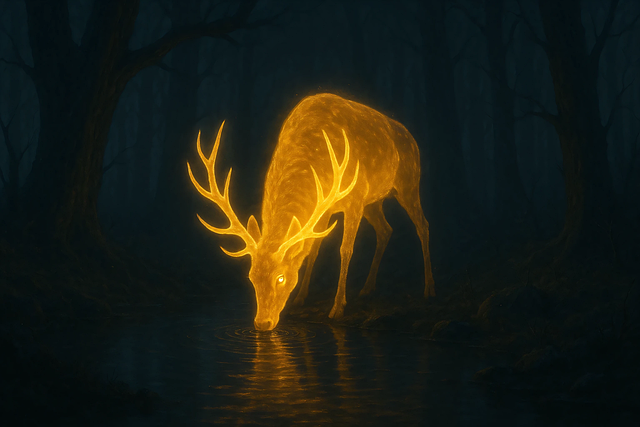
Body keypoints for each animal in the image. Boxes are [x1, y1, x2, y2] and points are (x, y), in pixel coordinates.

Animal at [188, 93, 434, 331]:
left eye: (281, 278)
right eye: (251, 277)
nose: (262, 323)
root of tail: (412, 139)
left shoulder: (355, 197)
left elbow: (345, 250)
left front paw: (337, 308)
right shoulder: (327, 211)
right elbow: (313, 250)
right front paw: (300, 298)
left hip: (408, 182)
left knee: (423, 225)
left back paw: (428, 289)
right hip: (374, 201)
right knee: (386, 229)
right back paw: (367, 289)